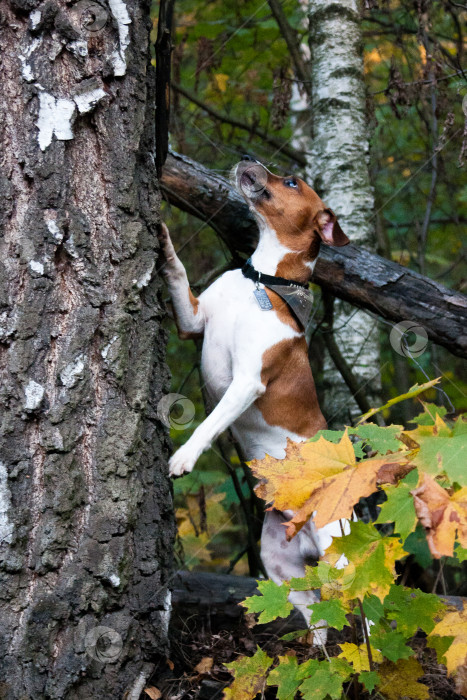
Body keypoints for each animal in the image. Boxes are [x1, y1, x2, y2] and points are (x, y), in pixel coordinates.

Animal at [161, 159, 352, 640]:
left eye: (291, 182)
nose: (250, 160)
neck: (262, 280)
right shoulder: (194, 321)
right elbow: (177, 272)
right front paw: (162, 238)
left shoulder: (247, 382)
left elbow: (208, 424)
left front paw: (184, 457)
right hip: (280, 568)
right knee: (318, 620)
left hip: (342, 559)